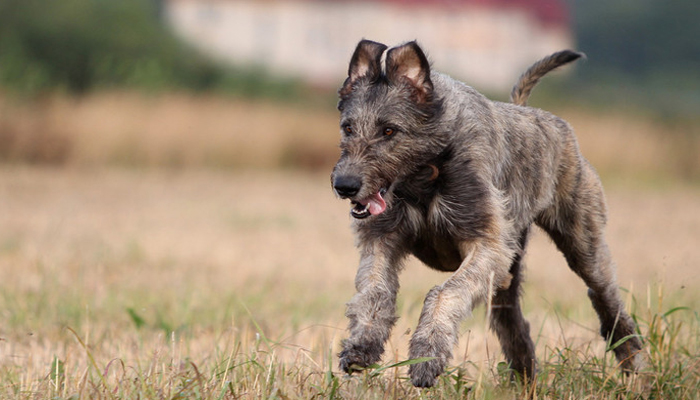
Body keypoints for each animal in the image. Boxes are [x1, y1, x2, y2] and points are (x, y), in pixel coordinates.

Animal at [330, 40, 644, 388]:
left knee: (605, 298)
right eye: (348, 127)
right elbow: (375, 290)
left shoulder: (486, 246)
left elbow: (445, 291)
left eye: (389, 130)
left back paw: (634, 366)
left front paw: (427, 356)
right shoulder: (382, 240)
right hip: (509, 271)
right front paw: (361, 347)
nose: (344, 185)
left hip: (583, 241)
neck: (426, 173)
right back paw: (525, 382)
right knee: (513, 323)